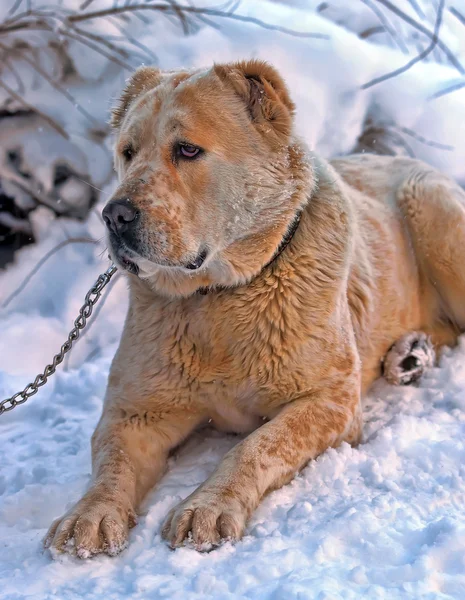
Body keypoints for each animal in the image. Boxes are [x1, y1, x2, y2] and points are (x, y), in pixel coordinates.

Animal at [44, 58, 464, 556]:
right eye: (127, 152)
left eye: (187, 150)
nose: (115, 215)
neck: (217, 297)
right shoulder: (135, 411)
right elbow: (111, 463)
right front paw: (88, 516)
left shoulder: (331, 400)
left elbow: (256, 446)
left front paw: (207, 506)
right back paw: (408, 355)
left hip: (433, 212)